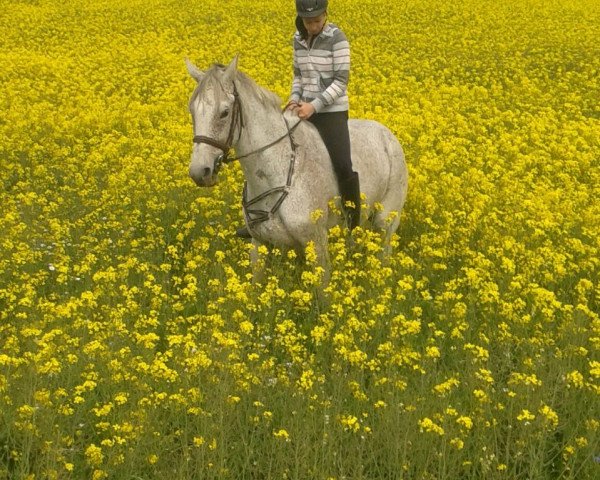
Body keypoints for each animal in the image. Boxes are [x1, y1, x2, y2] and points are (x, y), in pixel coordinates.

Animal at [186, 56, 408, 284]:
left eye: (224, 112)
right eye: (192, 110)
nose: (200, 172)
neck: (277, 174)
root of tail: (388, 135)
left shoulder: (317, 246)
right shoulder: (259, 245)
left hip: (385, 223)